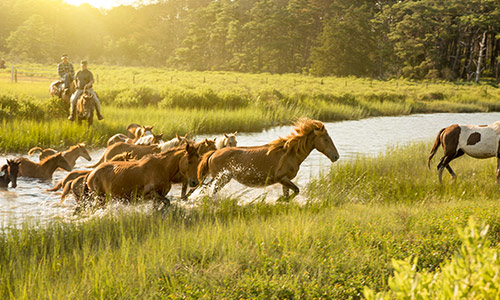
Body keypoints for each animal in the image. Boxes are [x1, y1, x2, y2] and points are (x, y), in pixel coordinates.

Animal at [196, 118, 340, 198]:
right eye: (326, 139)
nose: (336, 156)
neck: (290, 153)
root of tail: (213, 154)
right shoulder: (281, 178)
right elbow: (296, 190)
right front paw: (279, 200)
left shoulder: (285, 181)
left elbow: (289, 194)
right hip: (221, 178)